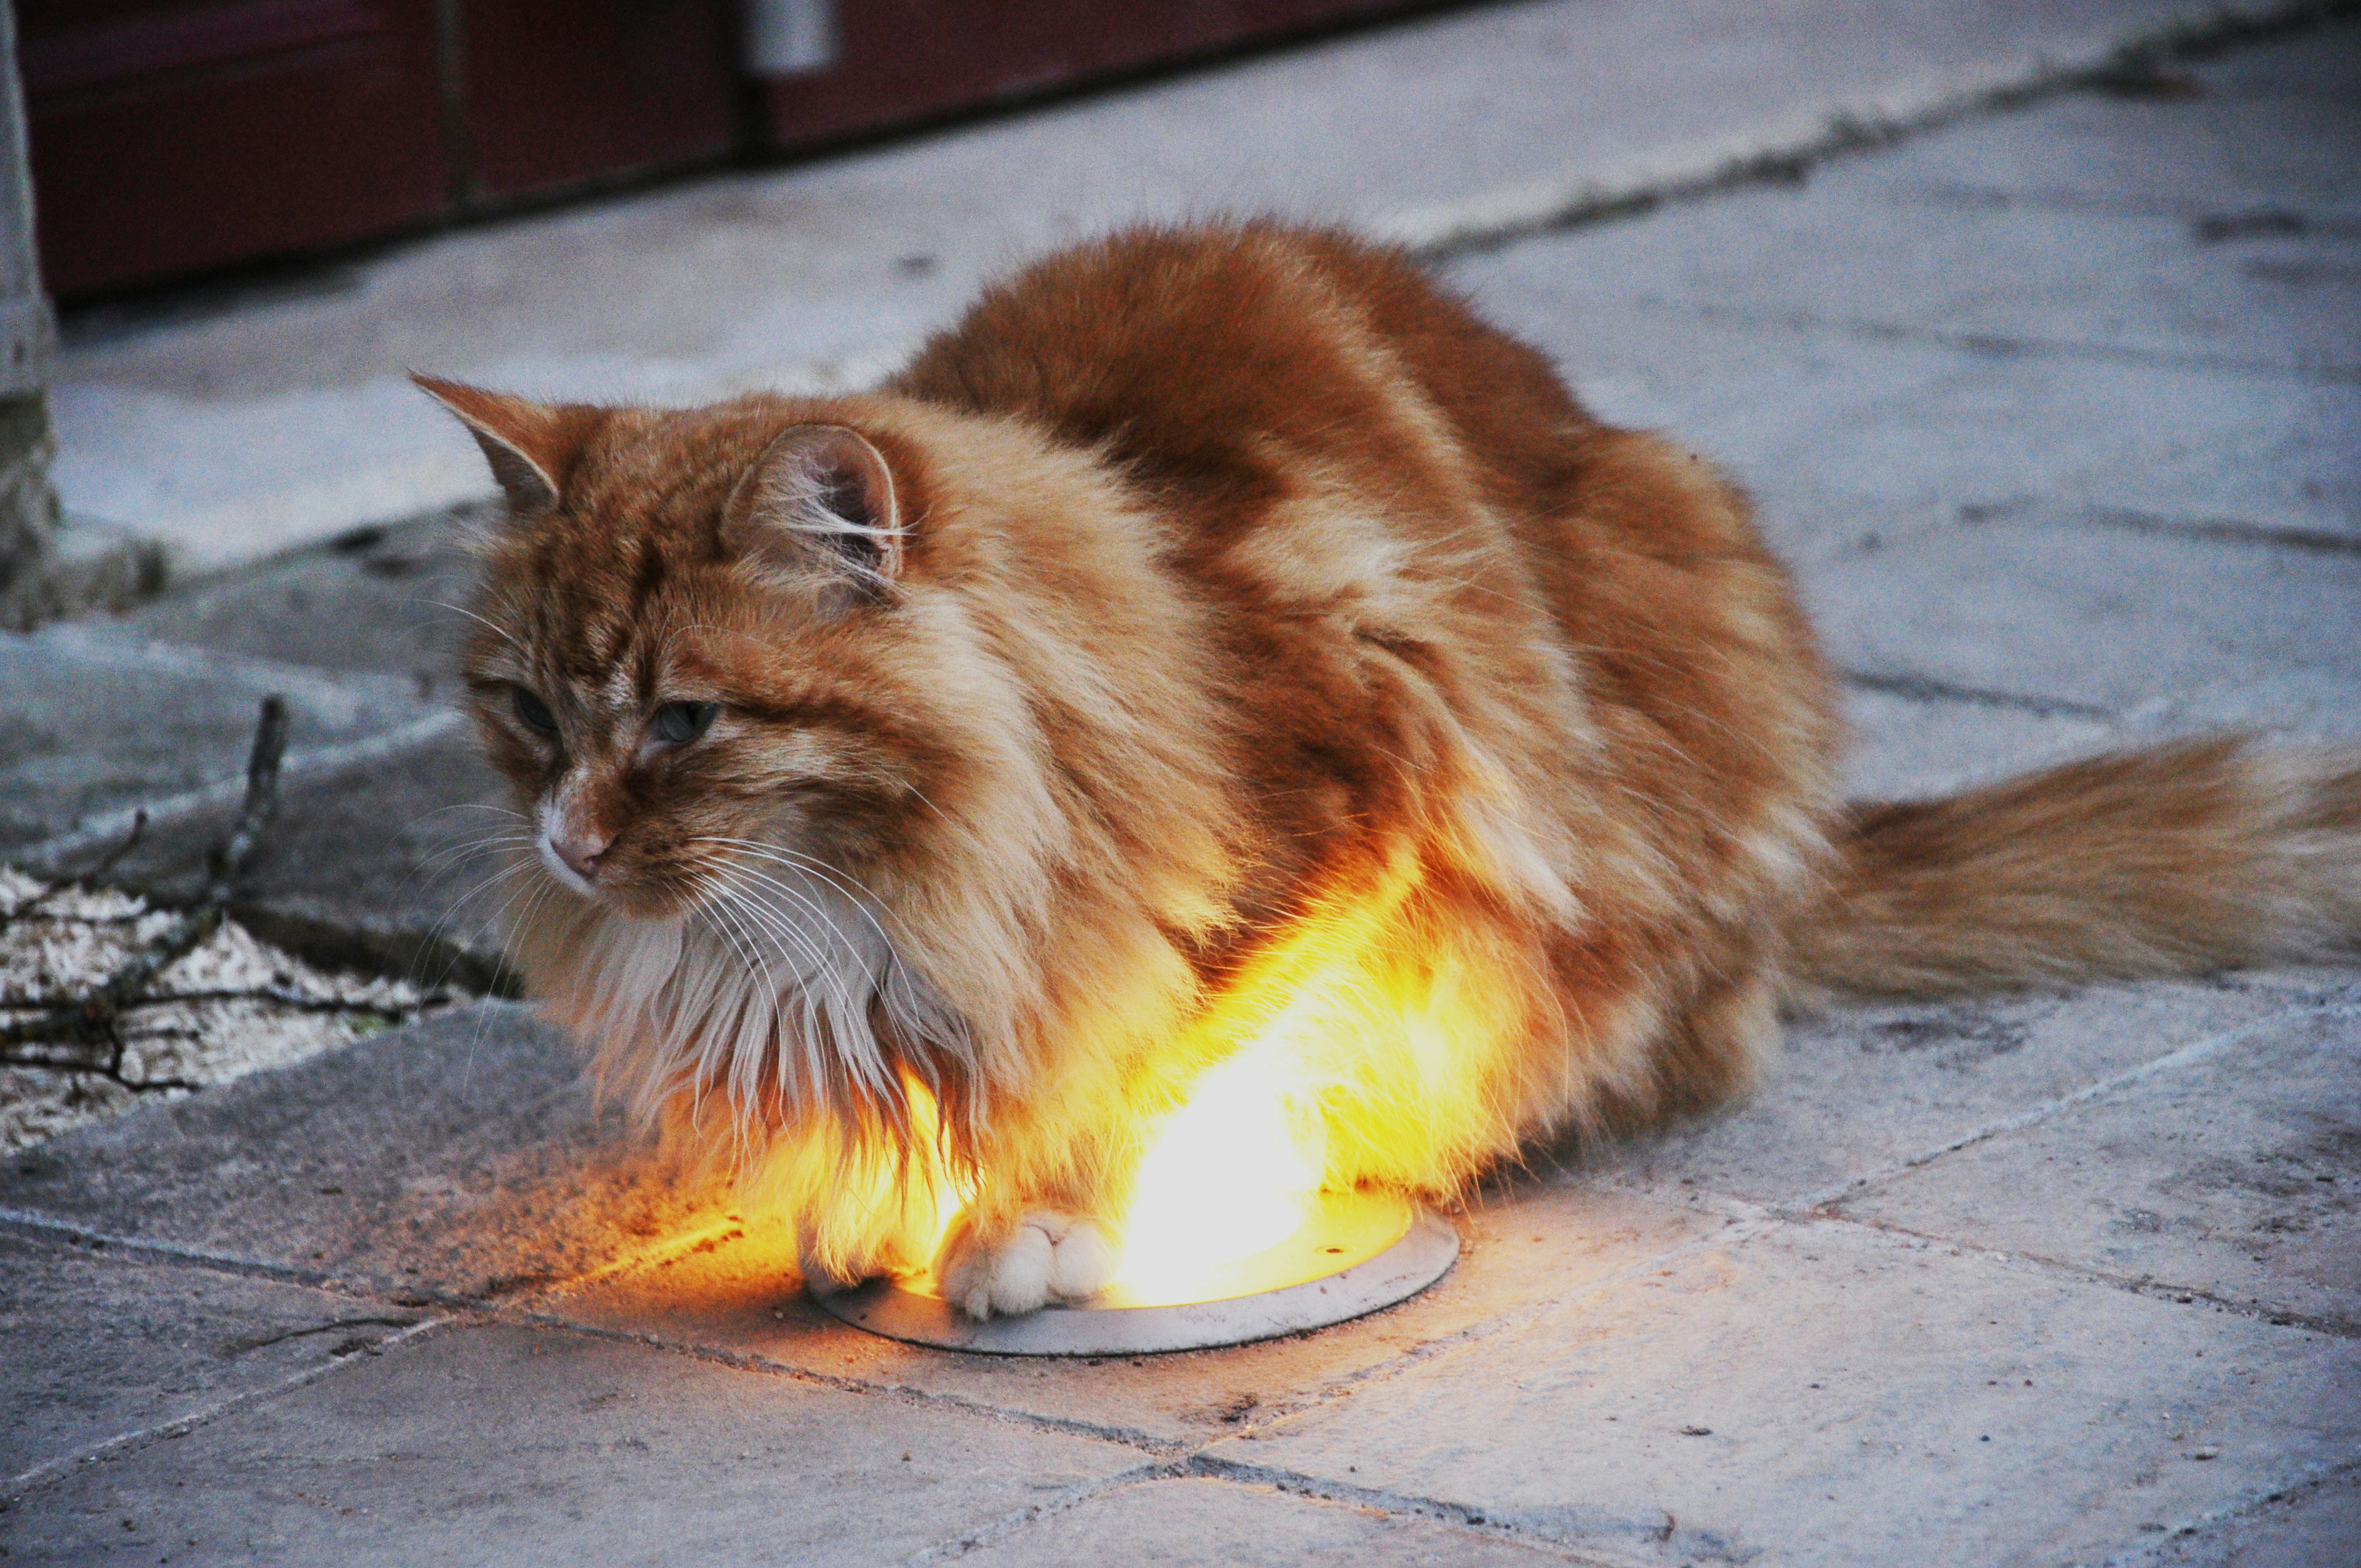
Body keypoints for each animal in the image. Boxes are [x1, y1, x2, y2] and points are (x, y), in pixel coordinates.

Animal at [425, 223, 2361, 1313]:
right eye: (525, 709)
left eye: (683, 723)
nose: (571, 840)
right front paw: (881, 1188)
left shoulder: (1362, 770)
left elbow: (1144, 1036)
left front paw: (1029, 1209)